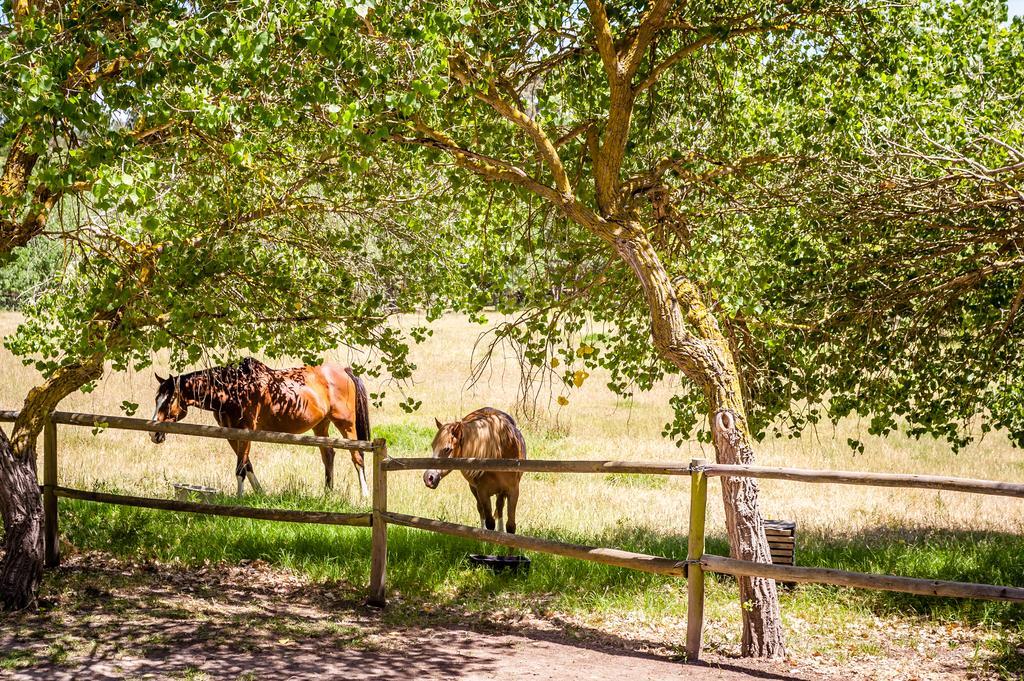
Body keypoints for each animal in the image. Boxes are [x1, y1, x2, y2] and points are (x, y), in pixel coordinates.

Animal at [149, 358, 374, 497]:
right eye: (156, 398)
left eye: (169, 400)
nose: (153, 433)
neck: (233, 388)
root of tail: (344, 371)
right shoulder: (231, 435)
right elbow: (247, 465)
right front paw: (259, 493)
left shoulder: (246, 431)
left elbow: (240, 468)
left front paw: (239, 499)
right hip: (320, 425)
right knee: (328, 454)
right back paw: (328, 493)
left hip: (346, 423)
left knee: (357, 455)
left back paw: (364, 494)